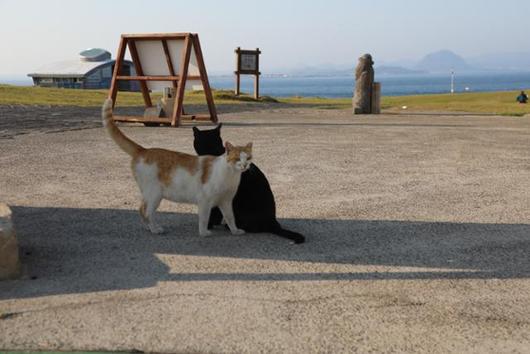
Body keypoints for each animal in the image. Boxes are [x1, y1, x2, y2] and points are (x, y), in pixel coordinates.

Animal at [103, 99, 254, 236]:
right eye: (237, 158)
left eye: (248, 158)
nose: (245, 165)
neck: (230, 175)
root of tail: (144, 150)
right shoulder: (204, 201)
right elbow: (204, 219)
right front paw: (204, 233)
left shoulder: (226, 202)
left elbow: (230, 218)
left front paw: (235, 231)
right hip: (154, 194)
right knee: (146, 212)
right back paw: (155, 229)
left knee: (141, 209)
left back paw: (149, 228)